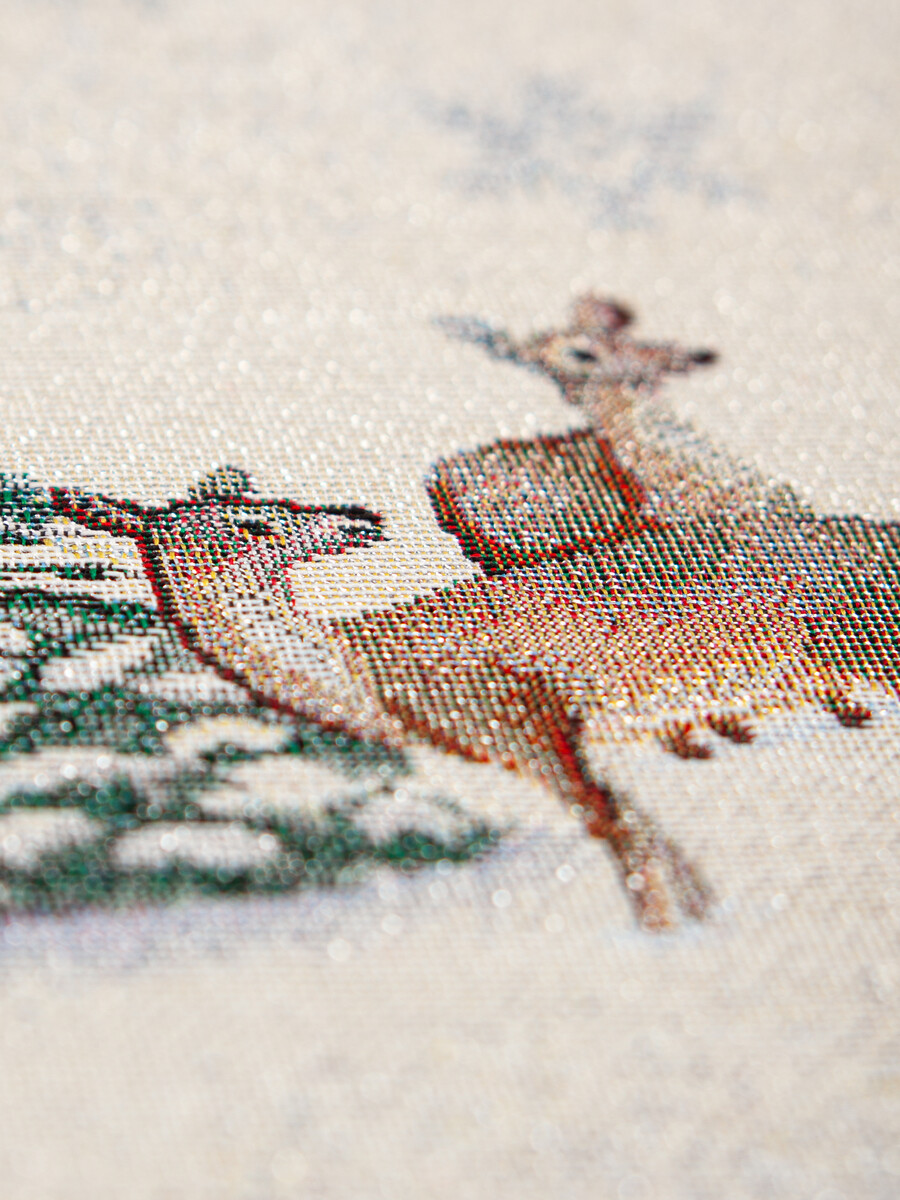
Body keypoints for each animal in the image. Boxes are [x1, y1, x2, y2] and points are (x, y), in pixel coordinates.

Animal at [47, 295, 900, 931]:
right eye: (254, 522)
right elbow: (628, 833)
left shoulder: (527, 726)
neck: (359, 668)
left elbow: (626, 833)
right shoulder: (528, 738)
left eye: (272, 503)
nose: (359, 519)